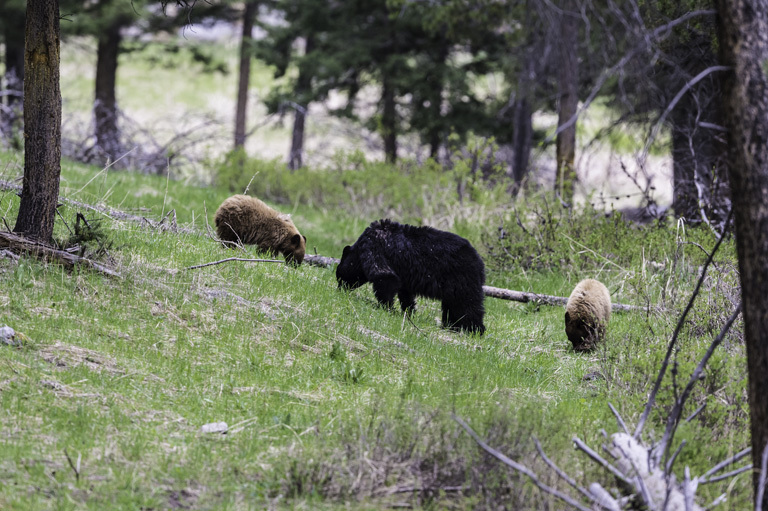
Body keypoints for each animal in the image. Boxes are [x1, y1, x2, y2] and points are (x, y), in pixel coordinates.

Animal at [336, 220, 486, 336]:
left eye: (339, 276)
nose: (339, 290)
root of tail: (480, 263)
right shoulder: (404, 276)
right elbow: (405, 294)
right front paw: (409, 313)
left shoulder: (375, 247)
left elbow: (385, 276)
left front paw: (387, 307)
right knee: (452, 306)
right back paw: (450, 326)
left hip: (462, 279)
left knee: (468, 305)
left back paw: (475, 330)